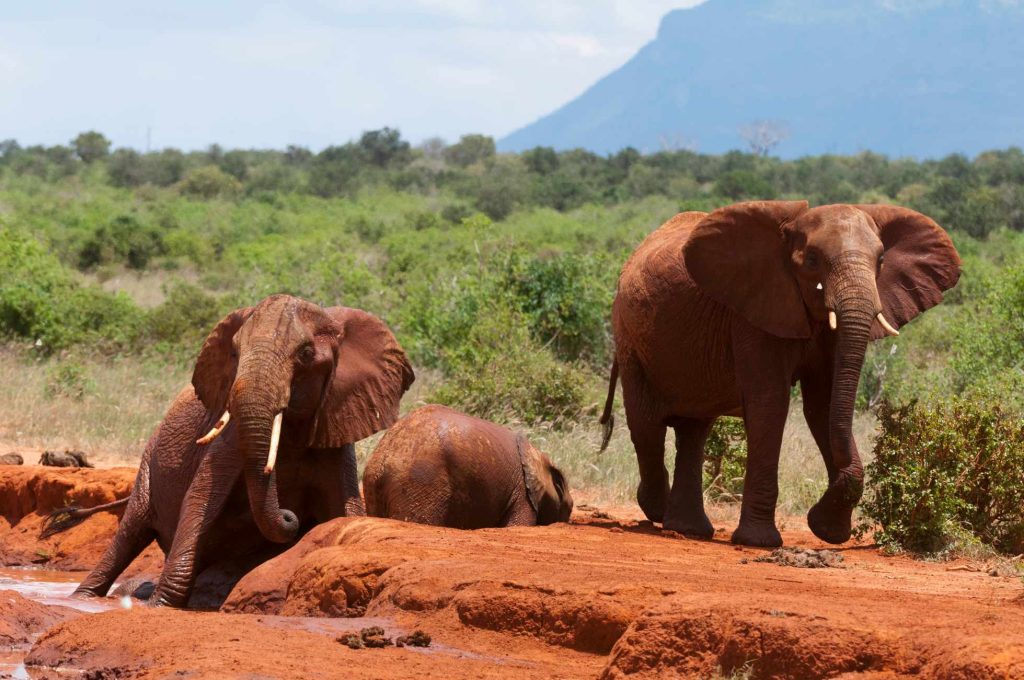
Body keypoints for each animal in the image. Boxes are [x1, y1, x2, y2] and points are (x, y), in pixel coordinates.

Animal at [67, 294, 414, 607]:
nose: (290, 515)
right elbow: (199, 499)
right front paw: (160, 604)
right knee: (131, 532)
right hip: (148, 464)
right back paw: (83, 599)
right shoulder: (228, 437)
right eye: (234, 353)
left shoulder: (335, 430)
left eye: (305, 353)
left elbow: (345, 511)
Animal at [599, 201, 960, 548]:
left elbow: (823, 404)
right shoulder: (754, 310)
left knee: (693, 430)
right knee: (647, 427)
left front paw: (827, 529)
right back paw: (656, 509)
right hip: (630, 339)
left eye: (881, 259)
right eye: (812, 260)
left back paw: (688, 529)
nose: (819, 512)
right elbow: (769, 403)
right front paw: (760, 542)